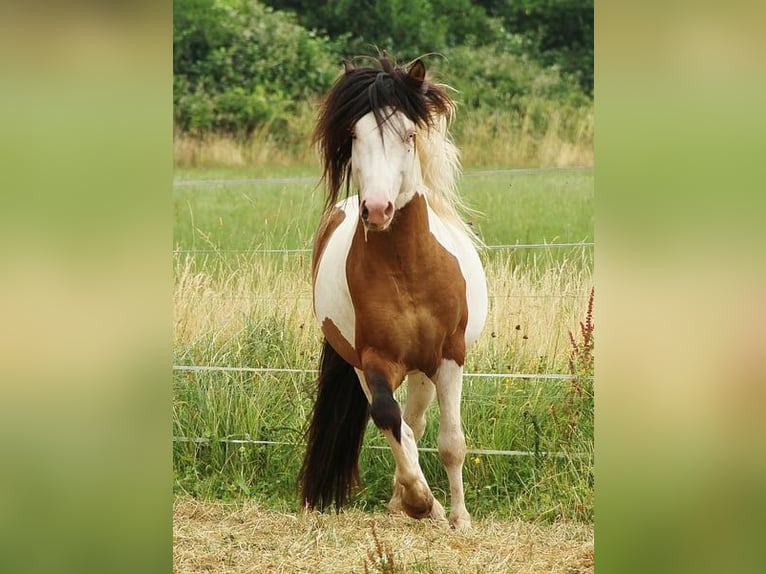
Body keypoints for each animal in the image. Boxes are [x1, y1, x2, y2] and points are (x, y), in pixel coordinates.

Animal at [298, 53, 488, 530]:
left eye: (409, 134)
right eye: (353, 135)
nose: (378, 209)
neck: (407, 270)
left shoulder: (450, 356)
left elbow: (451, 442)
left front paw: (460, 518)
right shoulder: (373, 359)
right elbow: (388, 418)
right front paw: (420, 501)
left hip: (424, 369)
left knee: (419, 426)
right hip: (368, 367)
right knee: (402, 427)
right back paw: (403, 500)